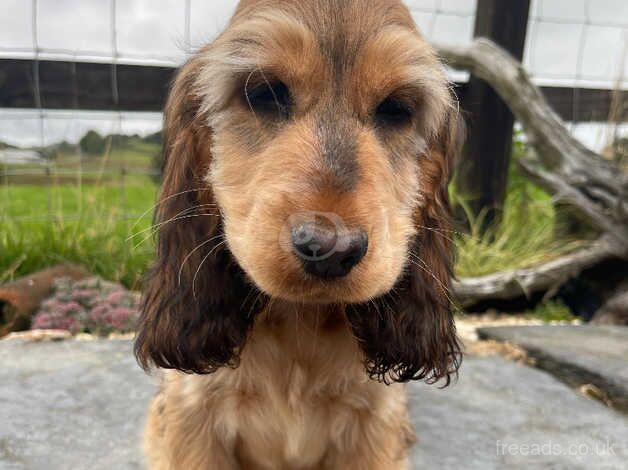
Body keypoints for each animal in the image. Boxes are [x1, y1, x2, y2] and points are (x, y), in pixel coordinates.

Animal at [135, 1, 464, 468]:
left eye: (397, 109)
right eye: (264, 94)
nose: (330, 249)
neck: (298, 320)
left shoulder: (375, 428)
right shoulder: (192, 419)